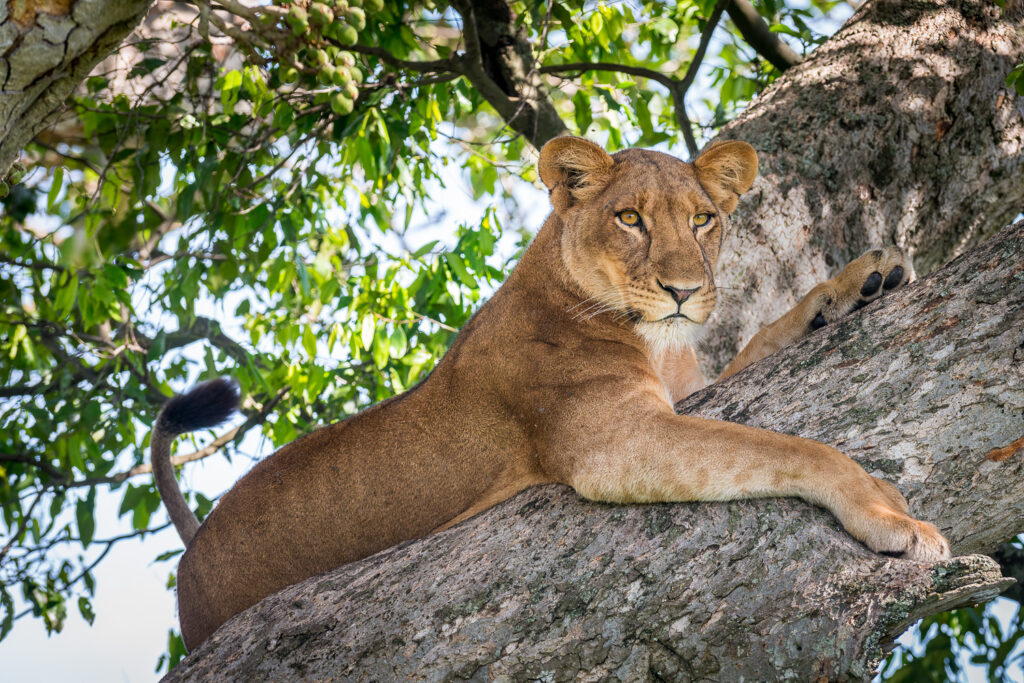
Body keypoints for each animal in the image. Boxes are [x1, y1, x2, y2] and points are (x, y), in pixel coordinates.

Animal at [152, 136, 950, 651]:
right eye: (629, 218)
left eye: (703, 220)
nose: (683, 290)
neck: (654, 338)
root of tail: (193, 555)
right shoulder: (618, 441)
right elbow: (788, 447)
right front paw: (893, 514)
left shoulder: (692, 387)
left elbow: (766, 336)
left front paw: (864, 279)